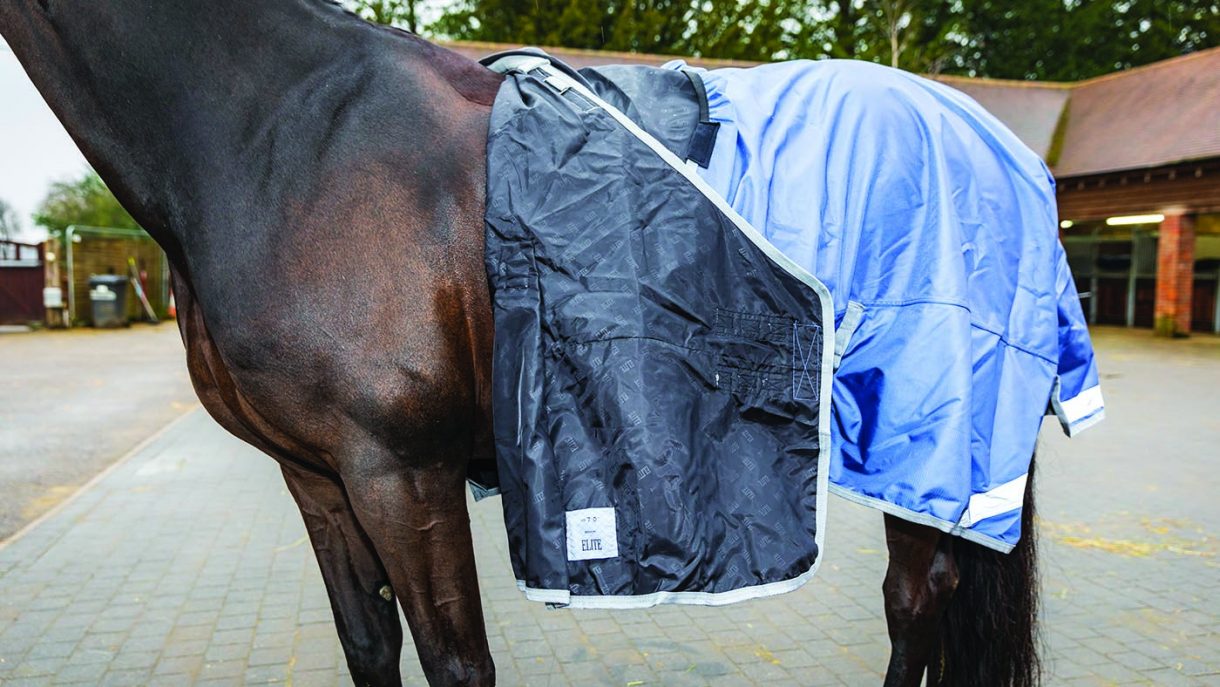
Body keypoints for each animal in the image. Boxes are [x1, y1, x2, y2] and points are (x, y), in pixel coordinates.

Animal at [0, 1, 1040, 685]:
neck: (275, 133)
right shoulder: (318, 476)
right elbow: (371, 647)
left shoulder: (400, 469)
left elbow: (457, 663)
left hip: (924, 439)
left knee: (916, 596)